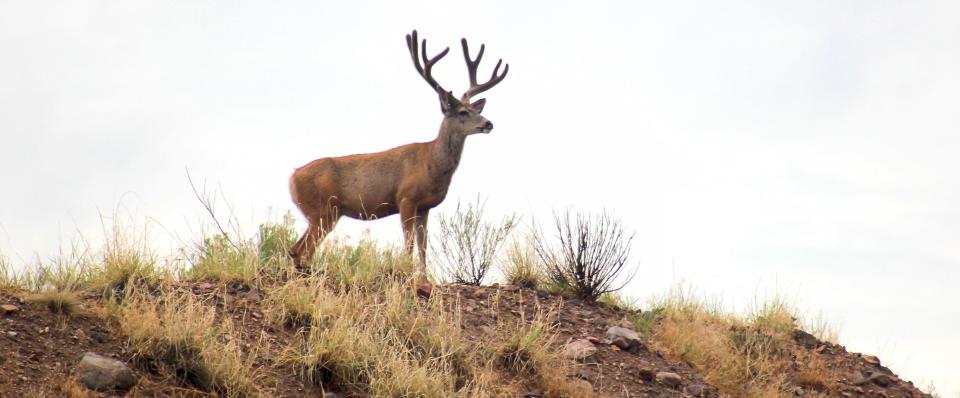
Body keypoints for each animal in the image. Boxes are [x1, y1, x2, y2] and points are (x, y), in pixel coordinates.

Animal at [286, 28, 506, 280]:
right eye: (462, 112)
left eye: (475, 109)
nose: (488, 123)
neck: (432, 163)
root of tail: (292, 177)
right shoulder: (406, 198)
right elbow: (409, 244)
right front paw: (408, 274)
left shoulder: (424, 207)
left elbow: (423, 246)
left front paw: (424, 278)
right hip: (322, 210)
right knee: (299, 249)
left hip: (324, 213)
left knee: (299, 249)